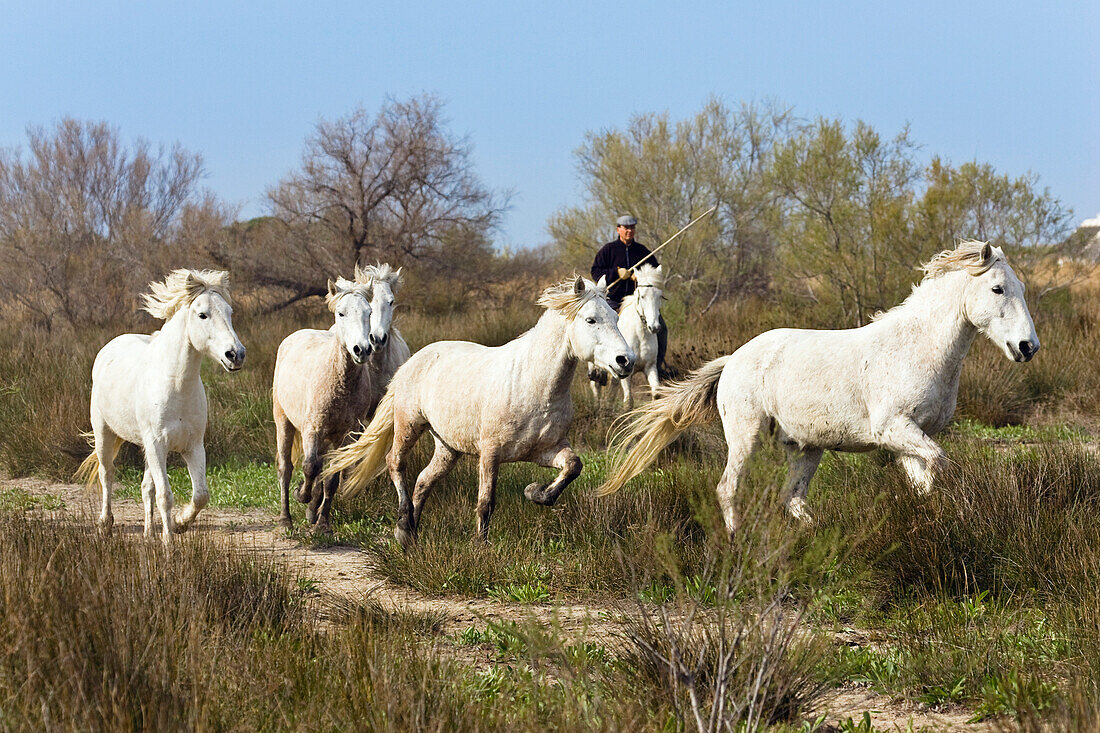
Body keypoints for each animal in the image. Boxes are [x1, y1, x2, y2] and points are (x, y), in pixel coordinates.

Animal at [75, 268, 245, 541]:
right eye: (202, 314)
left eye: (229, 312)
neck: (175, 385)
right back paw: (105, 524)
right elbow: (166, 495)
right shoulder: (157, 445)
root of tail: (109, 346)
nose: (236, 355)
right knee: (106, 474)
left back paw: (148, 533)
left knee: (146, 487)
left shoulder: (193, 446)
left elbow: (200, 495)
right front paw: (168, 541)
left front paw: (179, 524)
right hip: (104, 433)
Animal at [272, 263, 411, 530]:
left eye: (369, 311)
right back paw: (286, 519)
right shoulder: (312, 428)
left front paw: (323, 523)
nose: (365, 348)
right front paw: (302, 495)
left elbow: (333, 476)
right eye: (341, 313)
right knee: (286, 467)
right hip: (283, 421)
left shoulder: (347, 432)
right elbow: (309, 466)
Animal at [323, 274, 638, 541]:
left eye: (615, 316)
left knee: (424, 480)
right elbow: (486, 502)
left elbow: (573, 467)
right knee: (395, 463)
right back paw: (403, 521)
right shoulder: (490, 452)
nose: (626, 360)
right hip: (409, 424)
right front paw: (481, 546)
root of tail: (412, 361)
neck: (533, 384)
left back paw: (409, 534)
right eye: (591, 320)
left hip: (448, 448)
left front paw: (535, 492)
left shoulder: (546, 450)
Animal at [589, 260, 664, 402]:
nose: (655, 327)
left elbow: (657, 393)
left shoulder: (650, 367)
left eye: (660, 296)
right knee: (596, 388)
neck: (640, 334)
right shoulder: (627, 373)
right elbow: (629, 400)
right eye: (642, 296)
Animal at [602, 242, 1038, 534]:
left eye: (1021, 288)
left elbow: (927, 481)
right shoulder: (895, 430)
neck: (918, 348)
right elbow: (941, 464)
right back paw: (736, 540)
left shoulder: (914, 437)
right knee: (728, 488)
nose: (1027, 347)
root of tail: (734, 359)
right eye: (998, 289)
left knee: (792, 499)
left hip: (807, 448)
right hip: (745, 435)